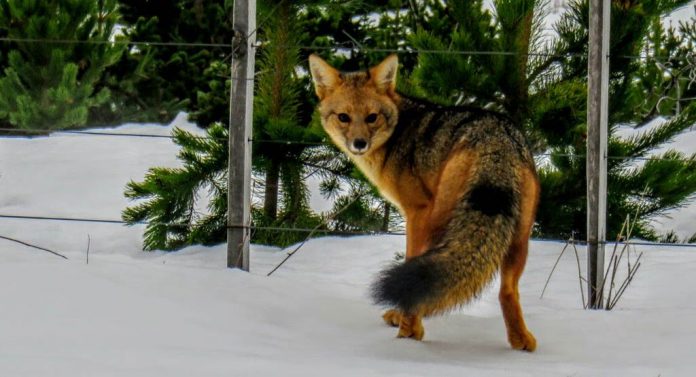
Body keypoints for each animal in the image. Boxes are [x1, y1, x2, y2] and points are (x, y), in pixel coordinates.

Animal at [312, 53, 544, 350]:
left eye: (372, 117)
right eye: (344, 117)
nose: (359, 143)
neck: (399, 131)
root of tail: (495, 139)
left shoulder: (416, 212)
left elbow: (411, 259)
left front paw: (406, 321)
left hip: (441, 224)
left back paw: (409, 332)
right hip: (518, 238)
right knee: (507, 291)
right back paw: (520, 340)